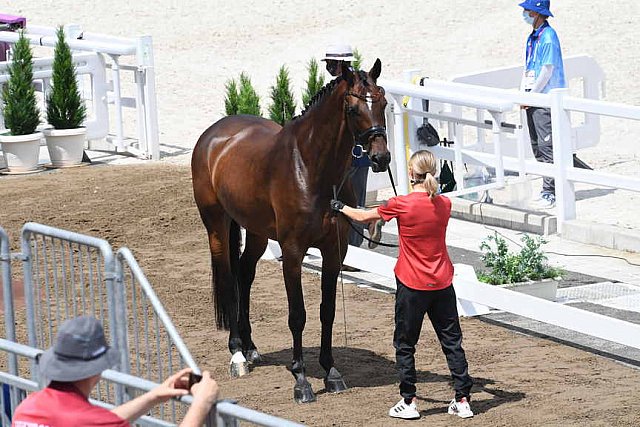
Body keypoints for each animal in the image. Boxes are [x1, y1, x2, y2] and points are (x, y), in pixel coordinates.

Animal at [190, 60, 390, 404]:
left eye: (384, 103)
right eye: (352, 109)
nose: (380, 158)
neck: (311, 168)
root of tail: (214, 134)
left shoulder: (334, 250)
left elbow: (327, 311)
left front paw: (331, 372)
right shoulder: (294, 251)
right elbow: (298, 314)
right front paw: (301, 380)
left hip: (256, 232)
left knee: (245, 274)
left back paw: (251, 348)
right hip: (216, 225)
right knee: (229, 279)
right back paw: (237, 355)